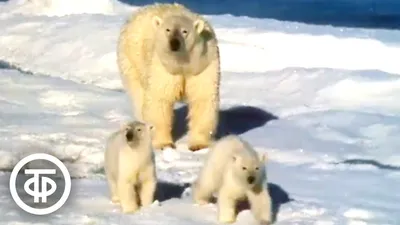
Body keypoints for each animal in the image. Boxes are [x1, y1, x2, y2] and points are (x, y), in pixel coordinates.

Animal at [115, 2, 222, 151]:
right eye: (167, 30)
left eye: (184, 31)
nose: (174, 43)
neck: (182, 64)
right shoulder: (163, 67)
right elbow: (160, 99)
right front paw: (164, 144)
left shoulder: (203, 65)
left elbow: (202, 99)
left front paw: (199, 144)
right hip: (131, 61)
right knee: (139, 96)